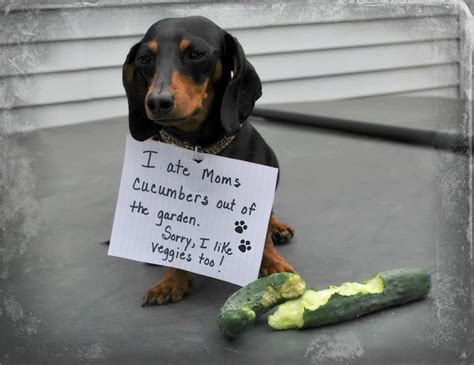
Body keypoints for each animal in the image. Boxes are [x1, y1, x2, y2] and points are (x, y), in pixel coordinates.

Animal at [125, 15, 296, 304]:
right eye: (144, 58)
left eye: (196, 53)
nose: (158, 102)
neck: (198, 148)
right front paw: (172, 280)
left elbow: (261, 236)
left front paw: (272, 264)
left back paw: (277, 227)